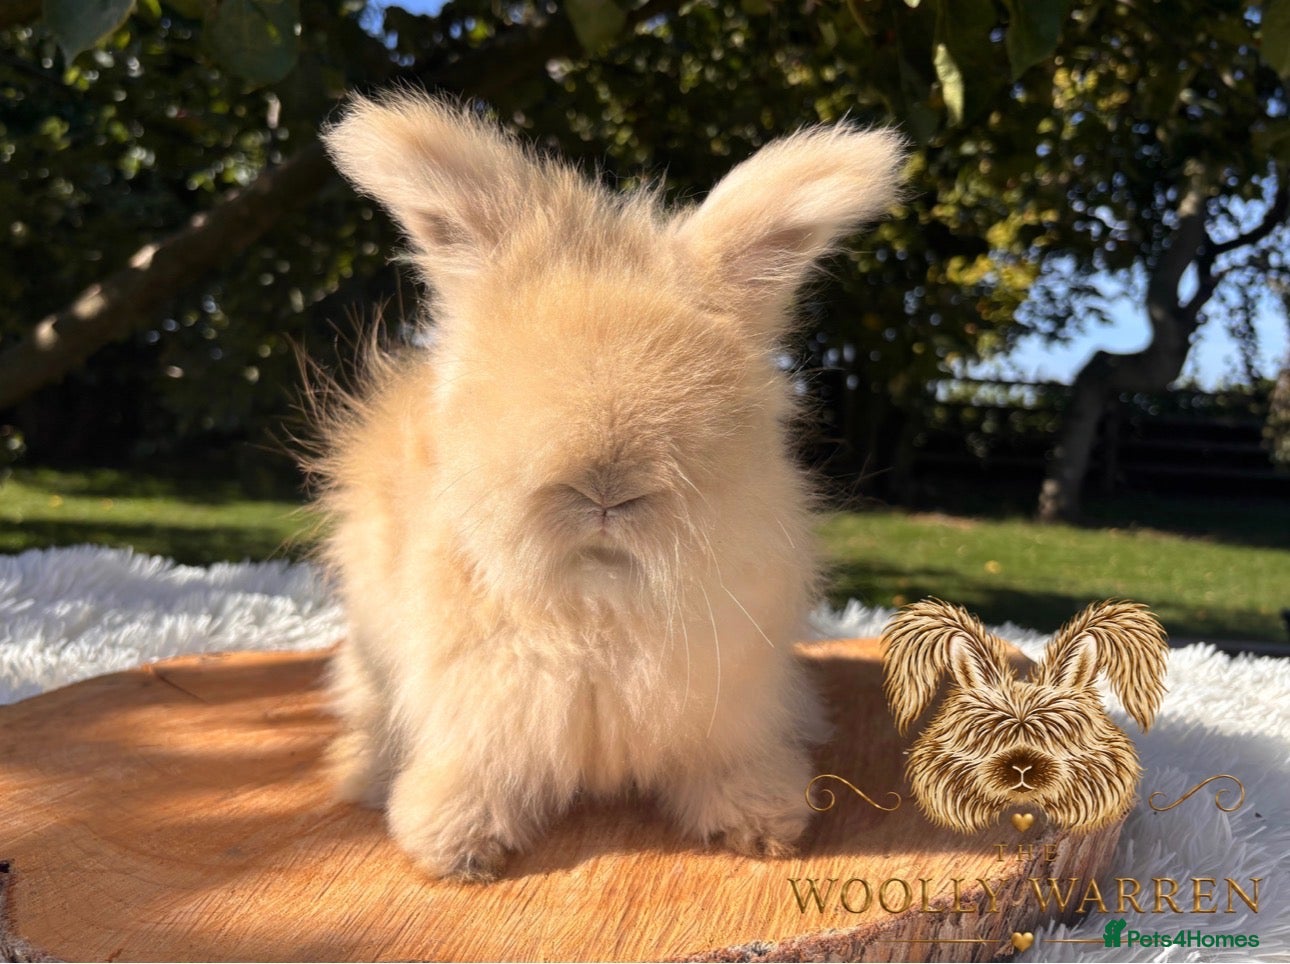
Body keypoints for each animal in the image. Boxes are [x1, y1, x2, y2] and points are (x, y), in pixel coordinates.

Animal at [308, 92, 906, 881]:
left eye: (720, 399)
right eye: (498, 388)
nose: (603, 491)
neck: (598, 603)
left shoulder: (731, 703)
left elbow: (728, 765)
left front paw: (762, 825)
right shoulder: (477, 706)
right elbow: (478, 768)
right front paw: (456, 847)